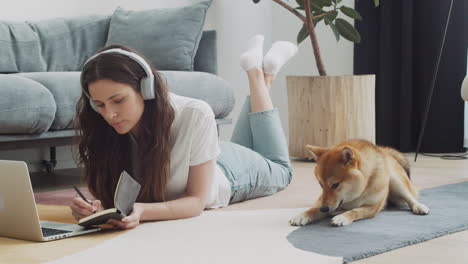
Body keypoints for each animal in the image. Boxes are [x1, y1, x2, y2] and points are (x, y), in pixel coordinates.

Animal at [290, 138, 430, 227]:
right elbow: (313, 209)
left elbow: (355, 211)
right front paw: (302, 215)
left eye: (335, 185)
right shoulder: (324, 202)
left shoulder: (372, 207)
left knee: (410, 197)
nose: (324, 209)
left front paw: (342, 217)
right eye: (320, 184)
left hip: (396, 182)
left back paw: (419, 206)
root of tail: (385, 152)